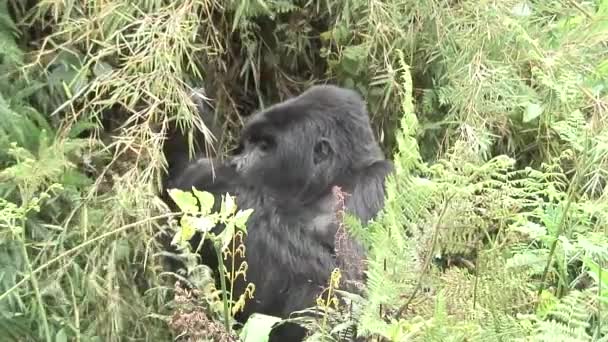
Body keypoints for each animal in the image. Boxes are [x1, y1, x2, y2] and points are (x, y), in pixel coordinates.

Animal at [160, 85, 394, 340]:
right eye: (247, 145)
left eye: (264, 147)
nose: (235, 163)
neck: (330, 182)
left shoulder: (378, 183)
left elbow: (346, 295)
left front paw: (210, 177)